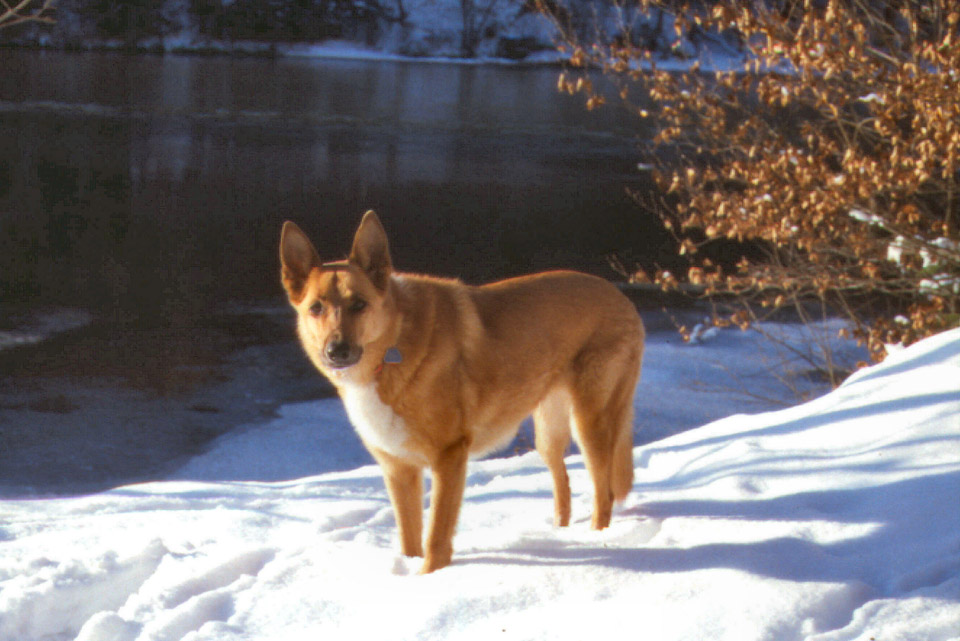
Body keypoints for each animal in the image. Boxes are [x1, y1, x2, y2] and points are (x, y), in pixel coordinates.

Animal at [278, 212, 644, 572]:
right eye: (316, 308)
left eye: (359, 304)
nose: (336, 351)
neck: (392, 349)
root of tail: (621, 296)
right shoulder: (399, 470)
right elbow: (409, 539)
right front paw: (408, 573)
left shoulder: (449, 457)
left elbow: (435, 539)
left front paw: (431, 578)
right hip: (548, 432)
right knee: (562, 482)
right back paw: (559, 532)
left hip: (589, 421)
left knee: (604, 492)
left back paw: (598, 538)